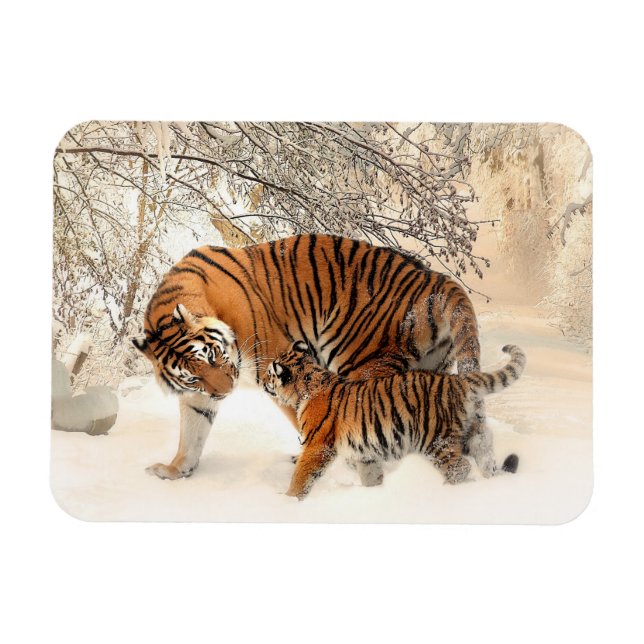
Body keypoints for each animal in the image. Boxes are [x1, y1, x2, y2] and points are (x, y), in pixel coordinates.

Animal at [132, 233, 489, 483]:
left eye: (214, 356)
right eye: (193, 376)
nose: (226, 392)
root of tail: (438, 279)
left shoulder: (279, 367)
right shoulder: (198, 395)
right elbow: (191, 433)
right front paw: (175, 470)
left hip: (363, 363)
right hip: (430, 371)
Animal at [263, 341, 526, 499]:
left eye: (269, 374)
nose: (263, 381)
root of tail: (458, 380)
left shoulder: (317, 446)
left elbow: (301, 475)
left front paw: (289, 500)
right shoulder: (365, 452)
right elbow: (371, 475)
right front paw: (375, 493)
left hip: (435, 440)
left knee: (460, 468)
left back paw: (445, 492)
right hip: (474, 434)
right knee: (486, 457)